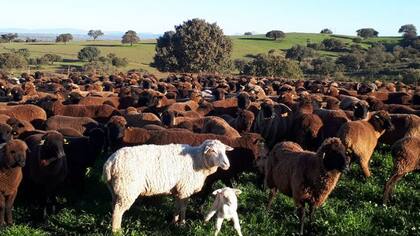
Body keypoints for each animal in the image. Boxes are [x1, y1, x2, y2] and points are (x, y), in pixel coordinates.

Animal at [102, 138, 233, 232]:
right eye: (213, 151)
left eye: (224, 151)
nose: (227, 164)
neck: (197, 160)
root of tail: (110, 162)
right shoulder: (185, 188)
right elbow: (183, 208)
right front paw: (182, 224)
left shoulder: (179, 189)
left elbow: (177, 207)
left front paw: (174, 222)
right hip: (127, 189)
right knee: (118, 211)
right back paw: (116, 231)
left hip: (115, 189)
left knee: (114, 207)